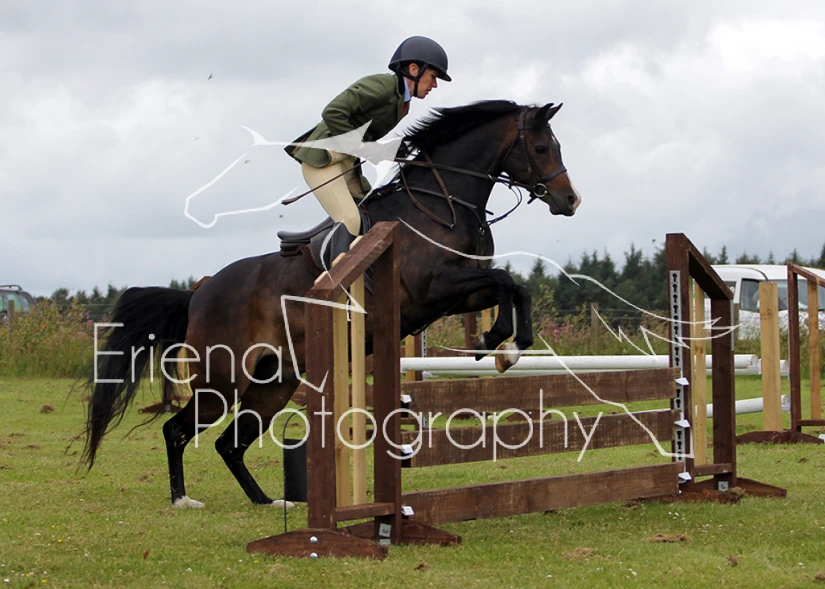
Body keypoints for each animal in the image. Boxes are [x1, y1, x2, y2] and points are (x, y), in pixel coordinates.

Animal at [83, 99, 582, 508]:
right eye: (541, 147)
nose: (570, 200)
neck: (443, 202)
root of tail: (198, 293)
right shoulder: (435, 287)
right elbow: (505, 280)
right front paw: (499, 342)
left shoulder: (458, 294)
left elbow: (513, 287)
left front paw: (504, 346)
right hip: (223, 380)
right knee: (178, 430)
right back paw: (183, 499)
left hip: (274, 383)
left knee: (230, 443)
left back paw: (268, 501)